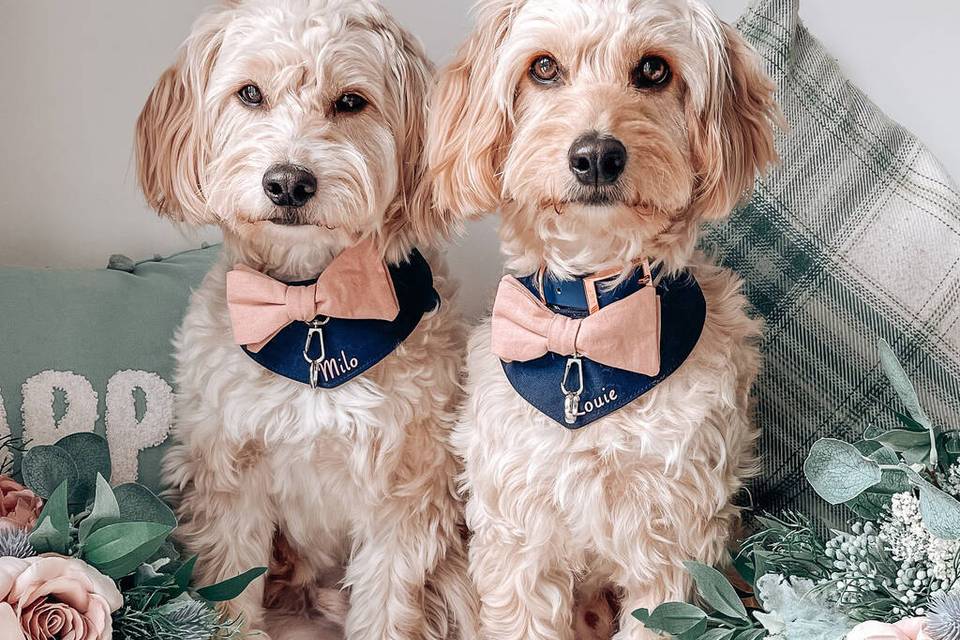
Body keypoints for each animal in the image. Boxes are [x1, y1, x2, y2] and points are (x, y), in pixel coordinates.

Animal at [133, 1, 478, 640]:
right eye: (249, 93)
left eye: (350, 102)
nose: (288, 182)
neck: (312, 303)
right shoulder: (229, 477)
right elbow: (230, 588)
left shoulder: (407, 492)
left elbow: (386, 603)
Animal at [430, 1, 780, 640]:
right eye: (543, 67)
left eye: (654, 69)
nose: (596, 155)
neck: (588, 329)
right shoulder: (519, 536)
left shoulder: (673, 541)